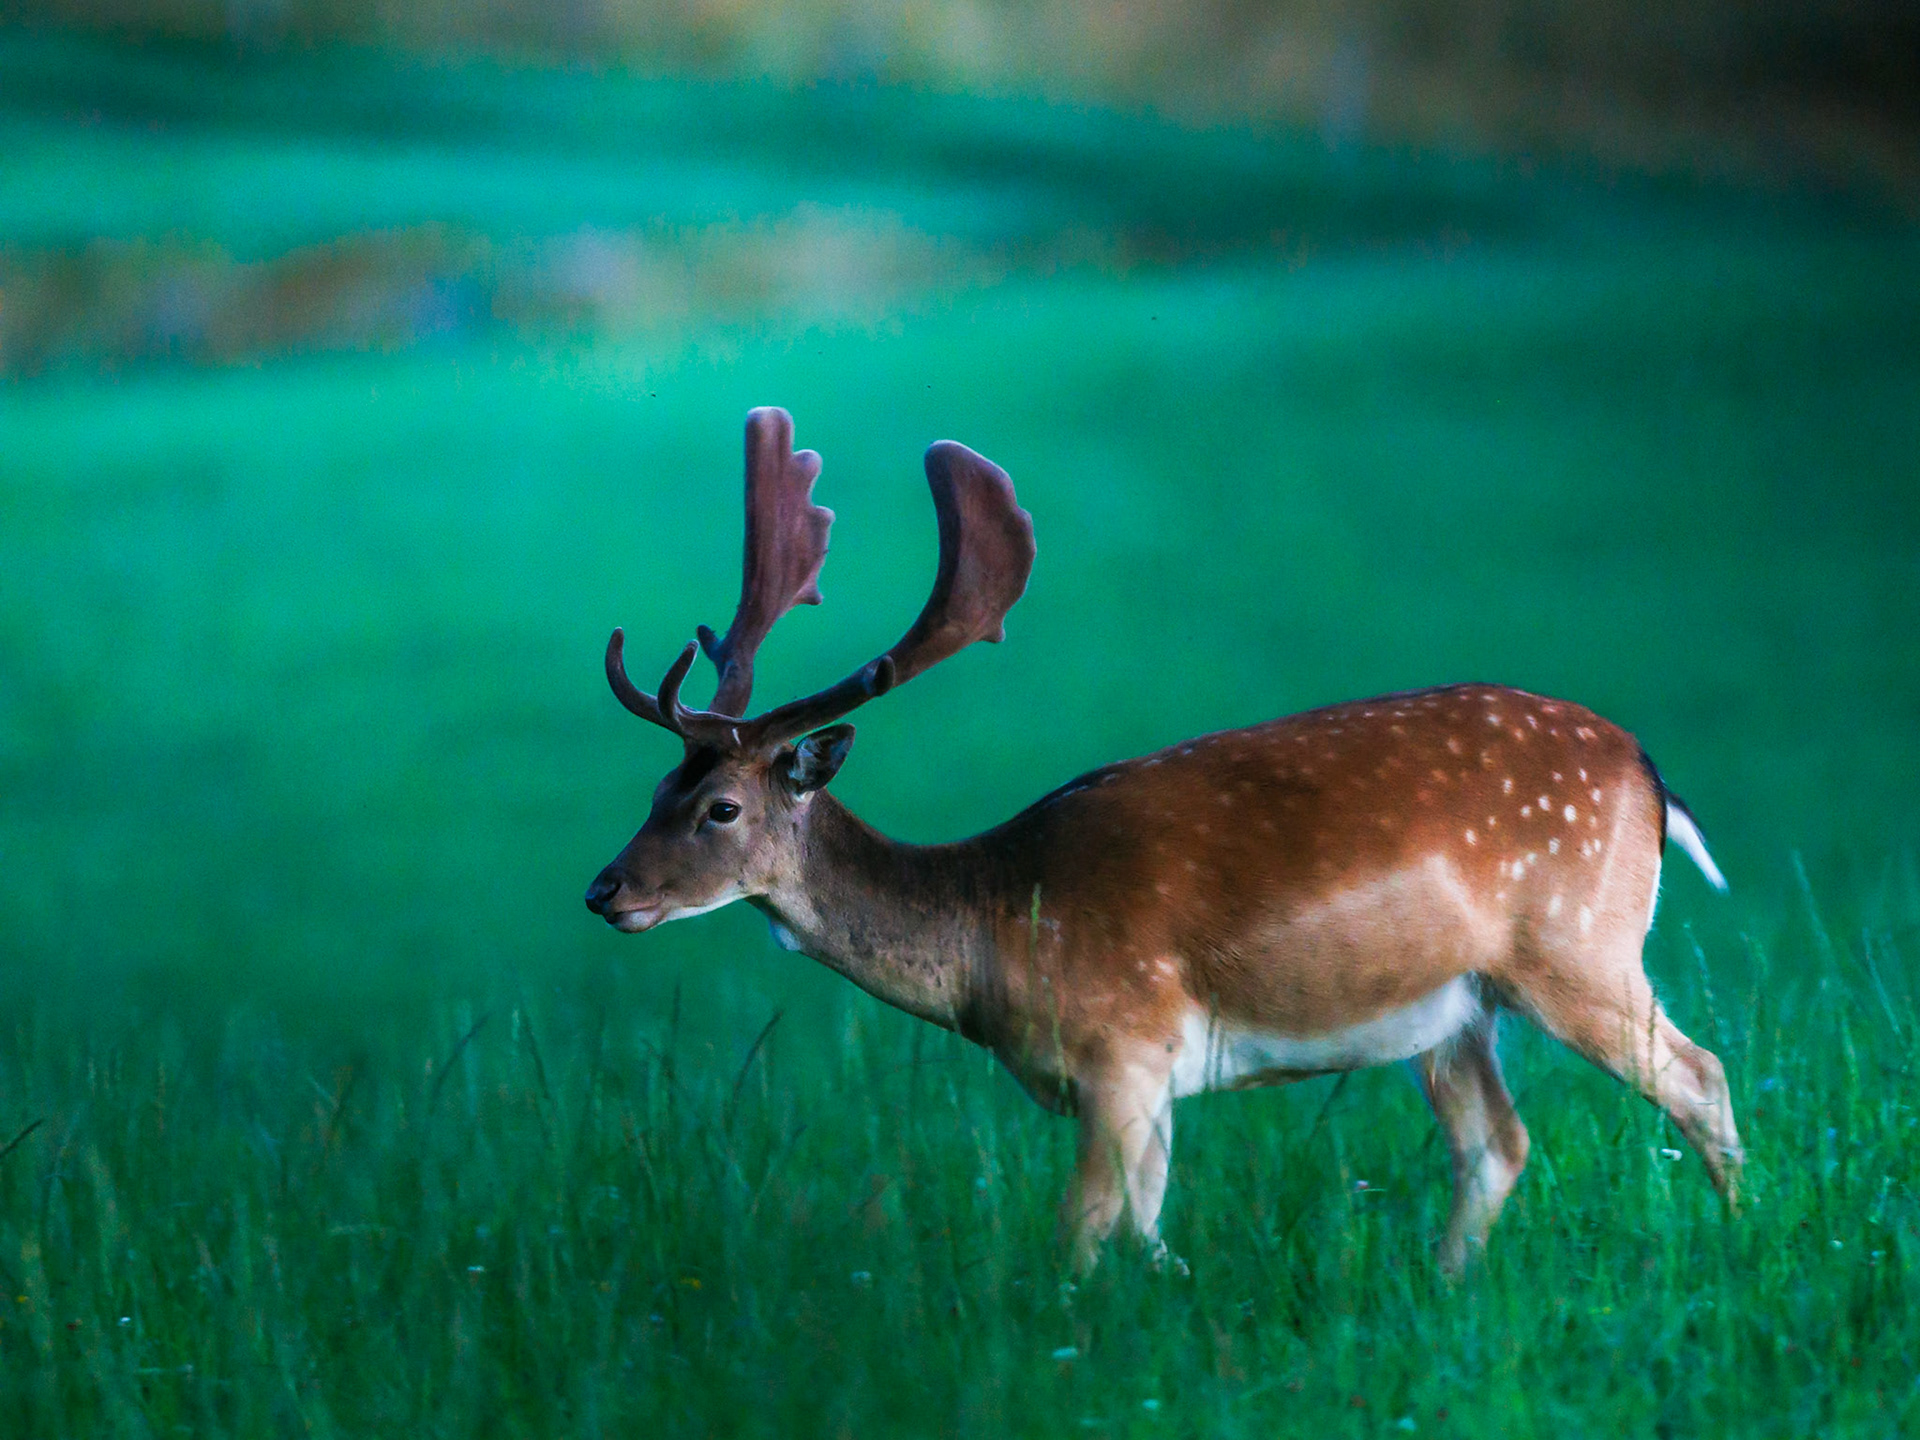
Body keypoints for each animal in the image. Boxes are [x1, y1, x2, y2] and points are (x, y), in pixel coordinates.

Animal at [584, 406, 1743, 1275]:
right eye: (654, 786)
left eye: (720, 808)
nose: (606, 892)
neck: (994, 928)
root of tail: (1648, 773)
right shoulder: (1141, 1087)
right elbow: (1146, 1238)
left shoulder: (1123, 1049)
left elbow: (1085, 1235)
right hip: (1457, 1007)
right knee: (1497, 1142)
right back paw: (1447, 1284)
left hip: (1577, 943)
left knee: (1700, 1077)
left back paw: (1736, 1242)